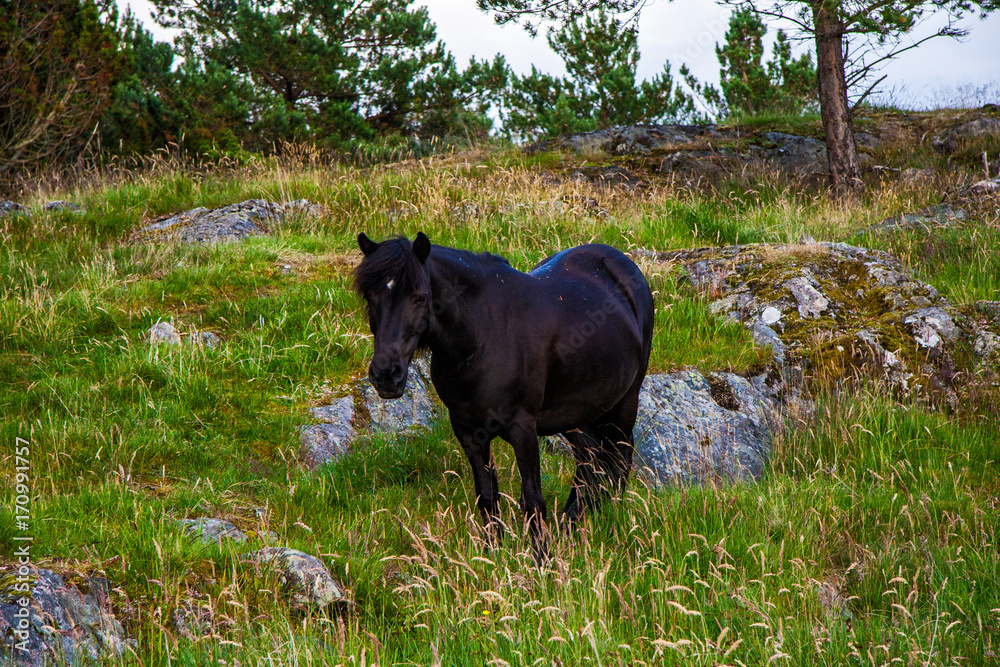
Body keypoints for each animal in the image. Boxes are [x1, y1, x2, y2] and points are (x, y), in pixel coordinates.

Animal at [354, 232, 654, 561]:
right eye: (369, 297)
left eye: (420, 297)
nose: (386, 374)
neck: (482, 336)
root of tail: (622, 264)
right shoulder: (468, 431)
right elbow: (487, 496)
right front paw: (491, 556)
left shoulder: (523, 428)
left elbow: (533, 500)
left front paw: (541, 560)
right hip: (578, 414)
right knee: (590, 462)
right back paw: (571, 525)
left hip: (624, 403)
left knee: (618, 463)